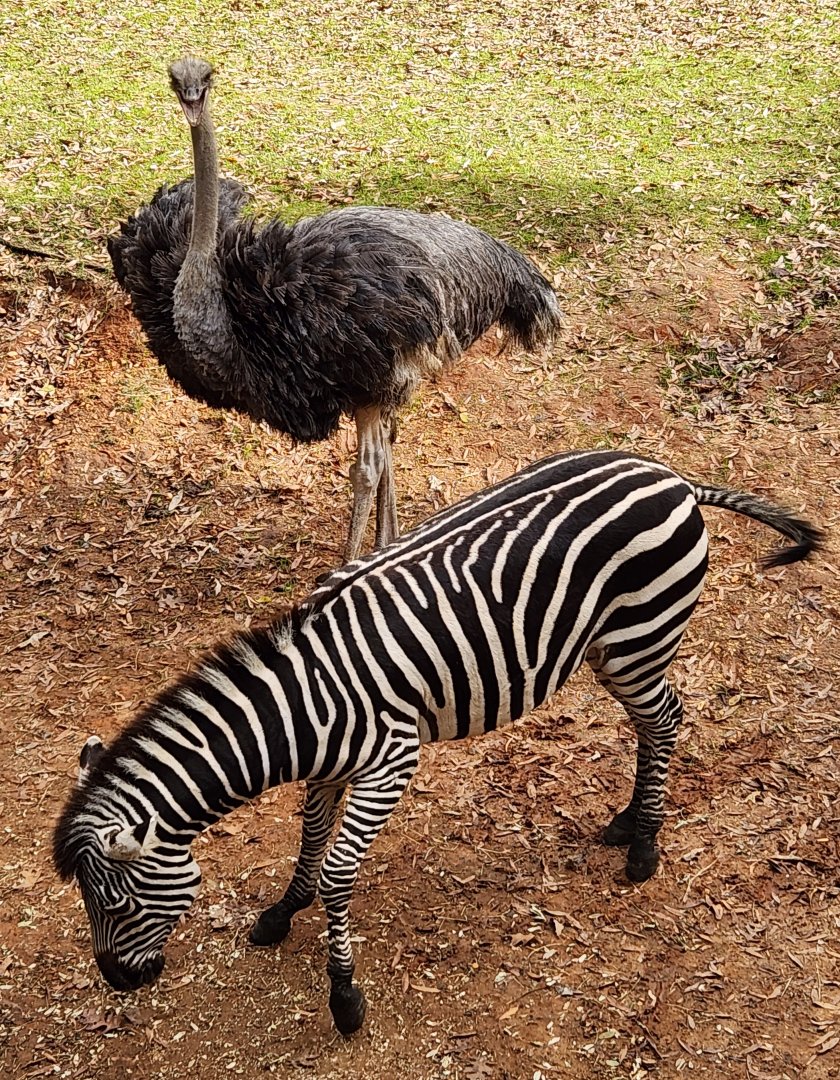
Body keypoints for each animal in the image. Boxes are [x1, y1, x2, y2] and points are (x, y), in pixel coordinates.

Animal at [53, 449, 823, 1035]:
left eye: (115, 907)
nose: (117, 982)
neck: (302, 707)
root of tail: (670, 476)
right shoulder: (331, 766)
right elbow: (309, 838)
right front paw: (282, 911)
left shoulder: (391, 762)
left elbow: (338, 874)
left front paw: (344, 996)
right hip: (613, 647)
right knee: (649, 723)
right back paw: (628, 821)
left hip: (642, 637)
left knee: (665, 719)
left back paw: (644, 846)